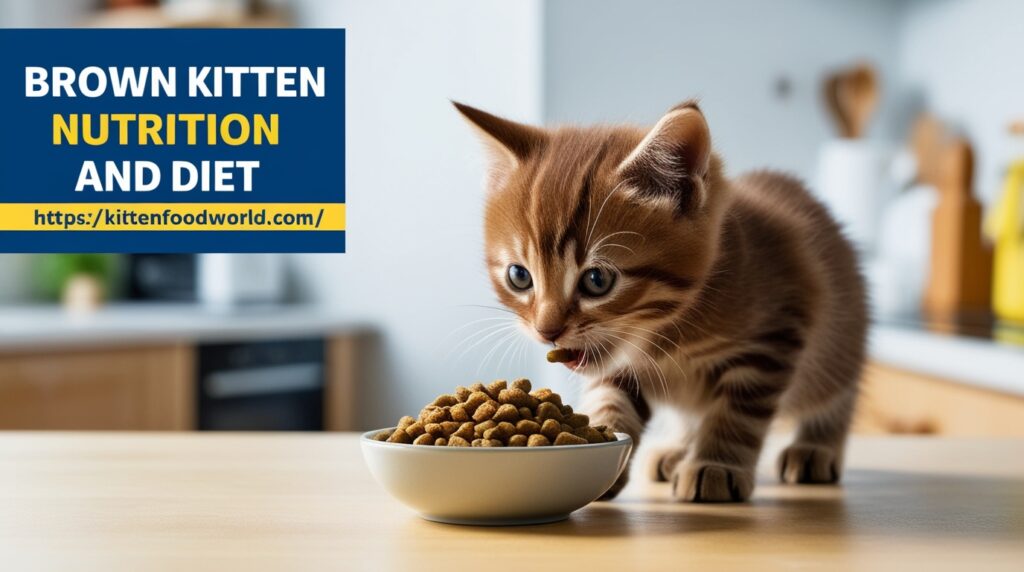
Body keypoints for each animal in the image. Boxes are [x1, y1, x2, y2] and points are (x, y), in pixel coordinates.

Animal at [456, 100, 864, 503]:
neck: (666, 333)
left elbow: (736, 413)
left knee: (836, 393)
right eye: (519, 276)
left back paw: (814, 447)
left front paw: (716, 464)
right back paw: (676, 450)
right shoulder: (621, 367)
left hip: (839, 341)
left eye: (597, 281)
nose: (547, 331)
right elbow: (610, 398)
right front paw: (607, 450)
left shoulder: (774, 336)